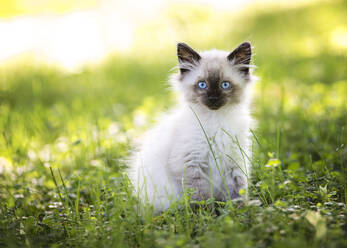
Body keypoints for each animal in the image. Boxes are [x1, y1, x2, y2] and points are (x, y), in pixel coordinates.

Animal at [130, 41, 256, 212]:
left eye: (225, 85)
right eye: (202, 85)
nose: (213, 99)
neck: (215, 122)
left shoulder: (235, 160)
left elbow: (238, 190)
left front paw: (239, 210)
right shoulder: (191, 163)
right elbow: (201, 197)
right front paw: (207, 214)